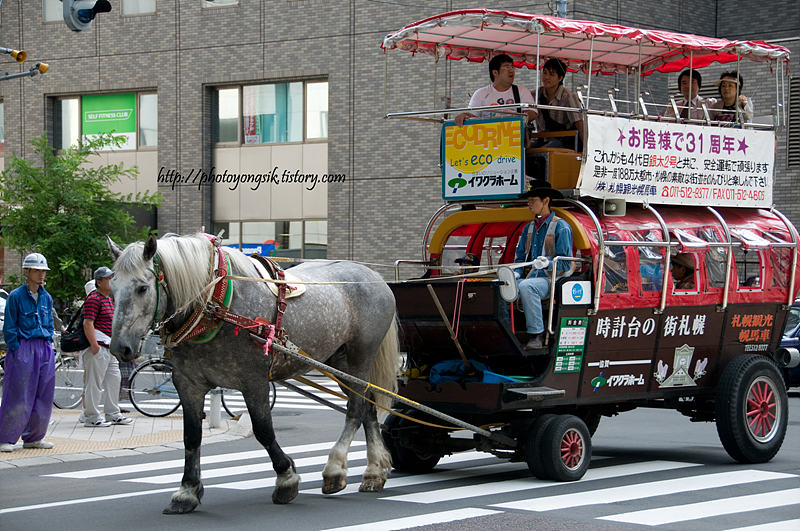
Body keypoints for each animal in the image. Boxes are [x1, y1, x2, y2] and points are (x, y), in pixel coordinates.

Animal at [108, 234, 400, 516]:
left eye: (142, 288)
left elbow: (263, 430)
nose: (119, 348)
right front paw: (187, 491)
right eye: (111, 288)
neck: (215, 306)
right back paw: (374, 471)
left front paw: (286, 478)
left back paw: (335, 469)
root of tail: (374, 275)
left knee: (356, 407)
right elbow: (191, 436)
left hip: (360, 355)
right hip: (338, 362)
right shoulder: (188, 383)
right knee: (368, 406)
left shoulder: (254, 381)